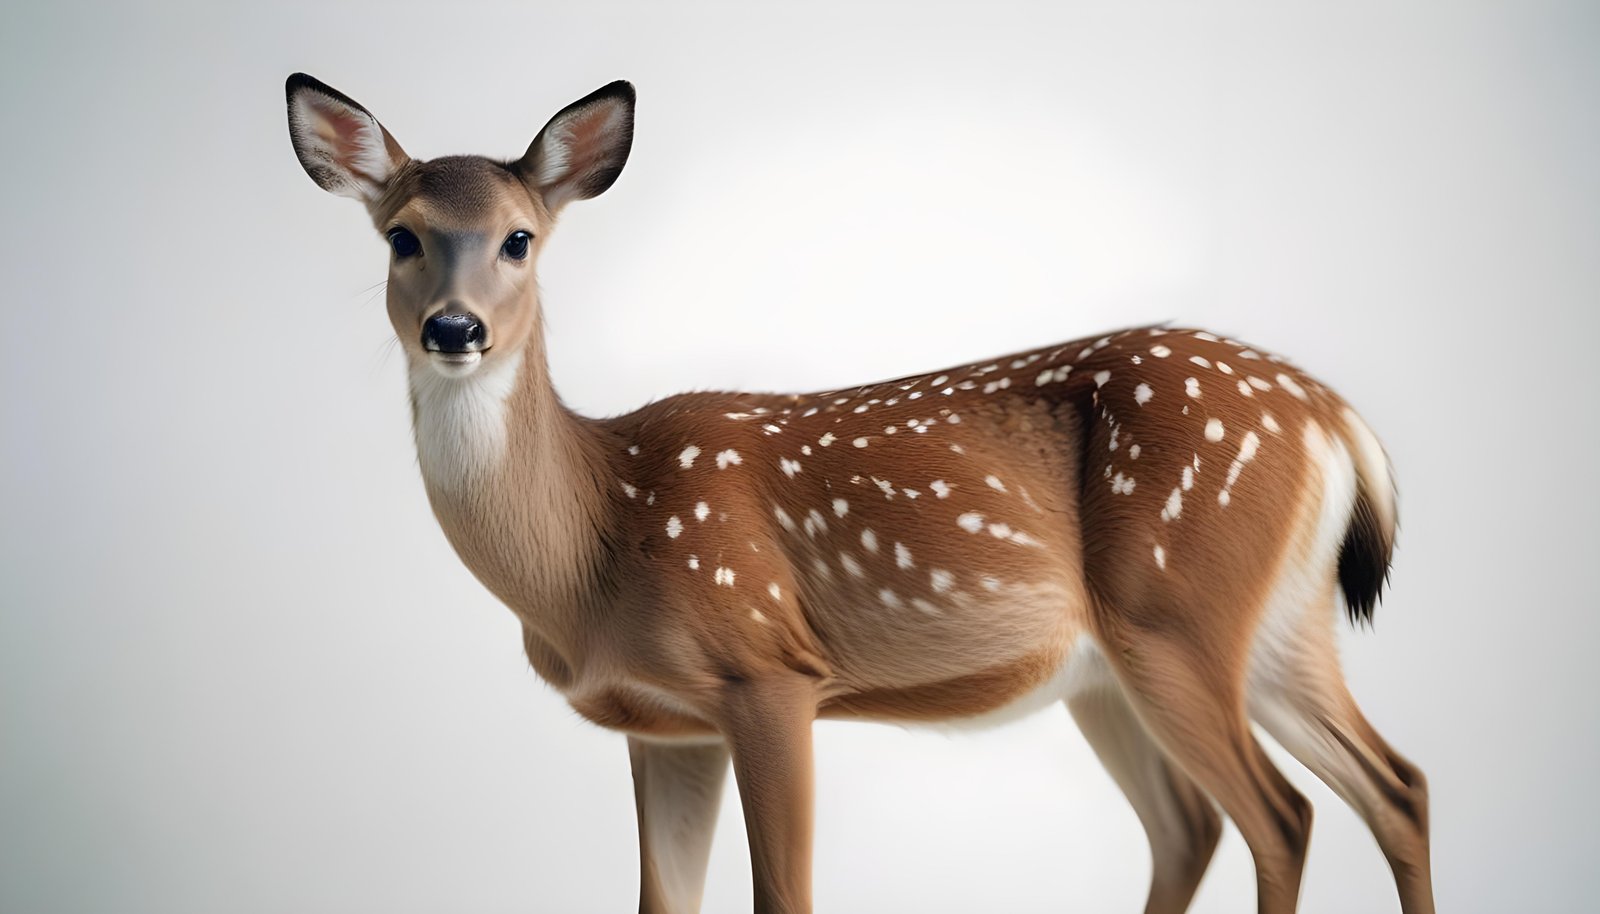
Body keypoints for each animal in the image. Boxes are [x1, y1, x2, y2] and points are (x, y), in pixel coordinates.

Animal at [285, 73, 1435, 914]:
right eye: (402, 235)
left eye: (519, 238)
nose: (455, 328)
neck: (596, 539)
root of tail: (1332, 412)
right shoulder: (666, 727)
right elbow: (663, 899)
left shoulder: (767, 667)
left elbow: (784, 893)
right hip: (1220, 639)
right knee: (1370, 791)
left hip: (1176, 606)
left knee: (1280, 816)